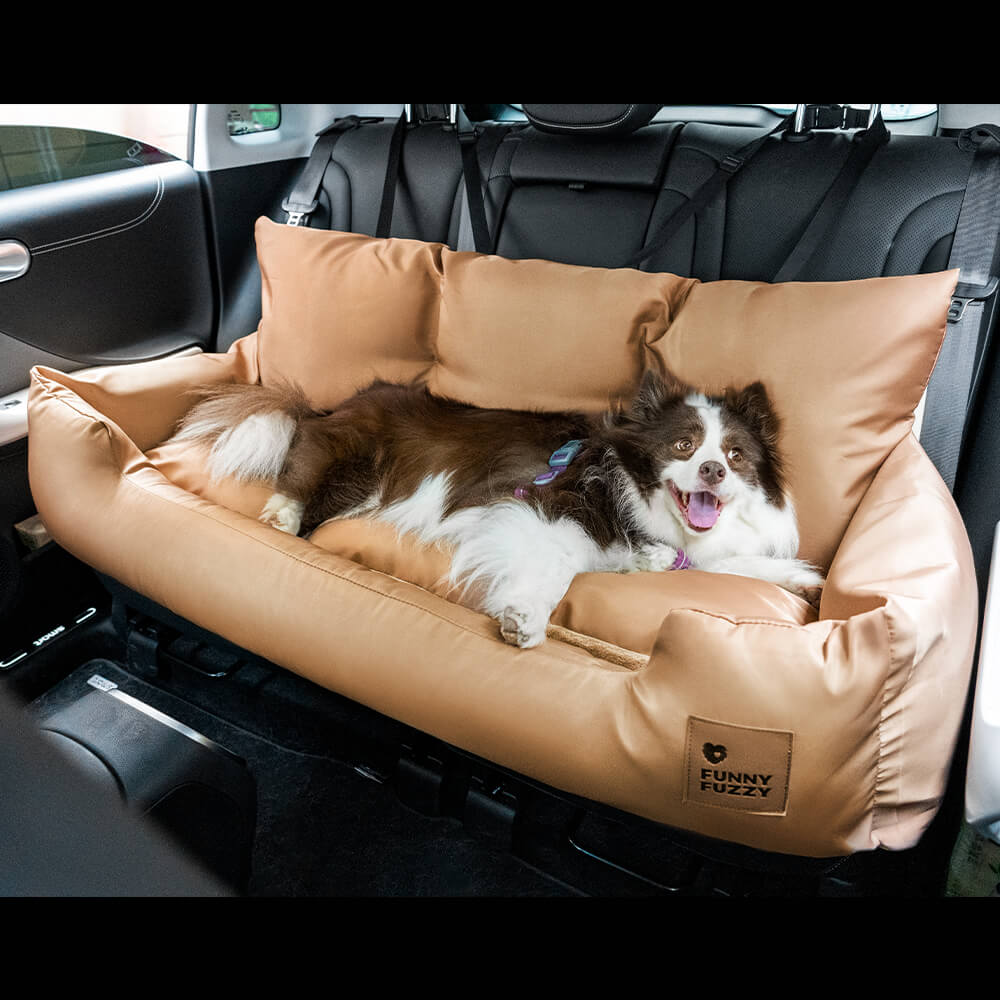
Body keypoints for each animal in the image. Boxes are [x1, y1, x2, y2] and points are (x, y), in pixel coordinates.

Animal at [176, 372, 824, 644]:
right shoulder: (542, 506)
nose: (713, 471)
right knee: (302, 463)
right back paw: (281, 515)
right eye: (684, 446)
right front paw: (525, 619)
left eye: (735, 455)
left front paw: (803, 578)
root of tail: (334, 405)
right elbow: (556, 568)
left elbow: (730, 564)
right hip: (356, 456)